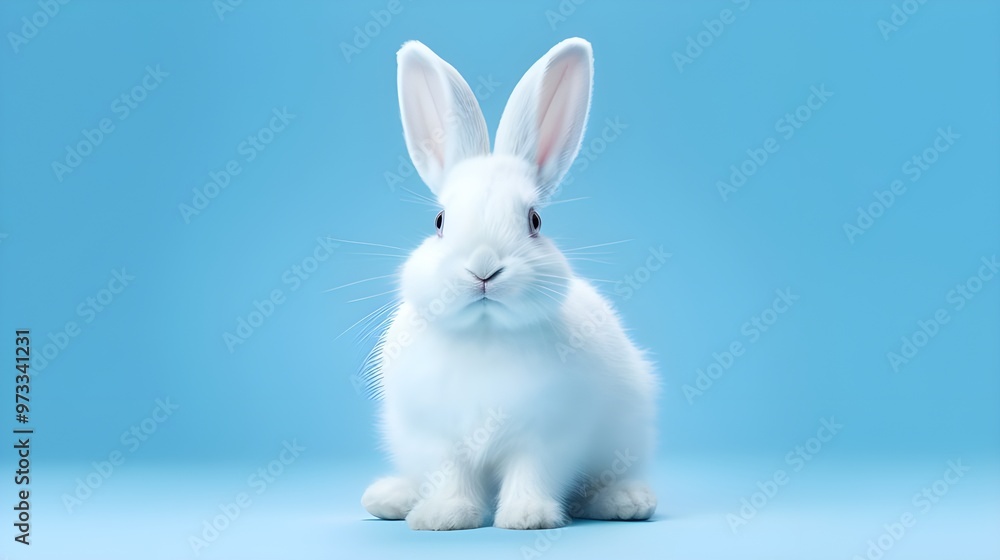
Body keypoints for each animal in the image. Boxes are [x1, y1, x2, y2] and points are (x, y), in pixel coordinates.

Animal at [360, 38, 658, 531]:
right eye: (439, 221)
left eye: (535, 220)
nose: (484, 268)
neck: (484, 335)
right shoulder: (436, 437)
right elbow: (450, 476)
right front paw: (445, 516)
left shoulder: (549, 436)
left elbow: (532, 473)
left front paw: (527, 517)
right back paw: (389, 498)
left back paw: (626, 502)